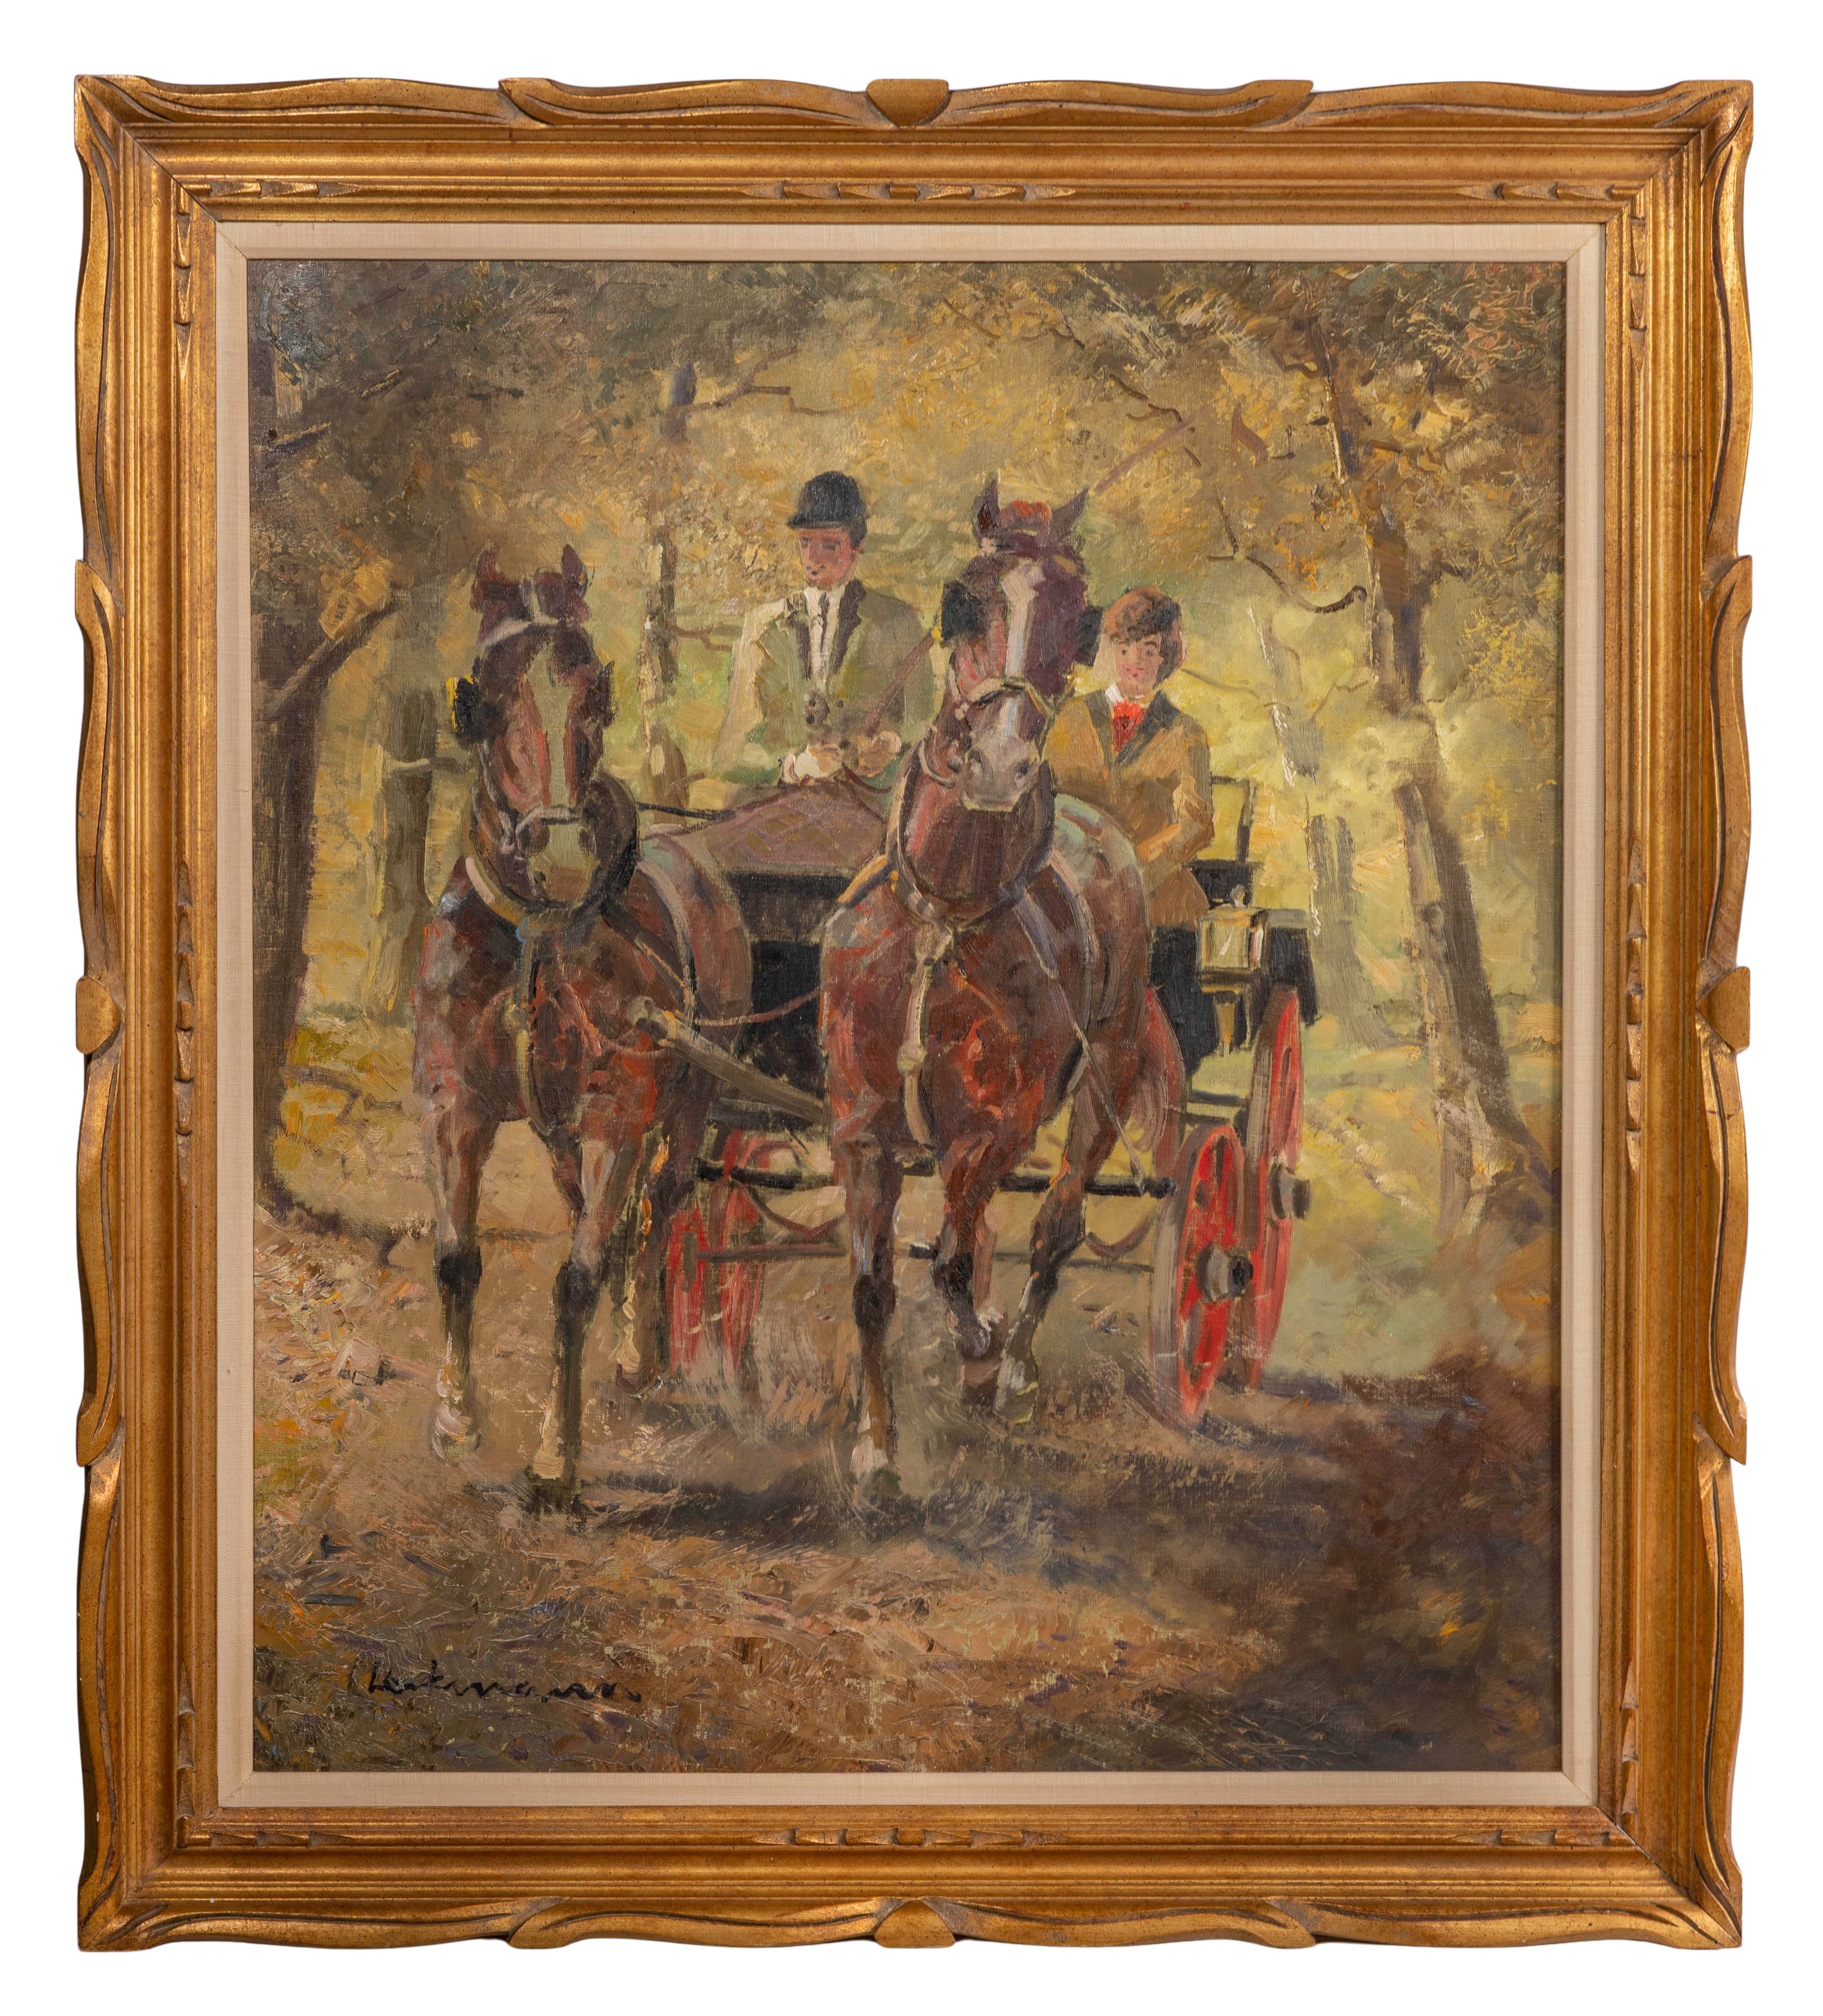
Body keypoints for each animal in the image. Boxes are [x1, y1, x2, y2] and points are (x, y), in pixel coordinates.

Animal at [412, 546, 751, 1506]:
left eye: (597, 692)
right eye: (484, 698)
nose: (562, 860)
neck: (535, 936)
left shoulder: (615, 1118)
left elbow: (576, 1278)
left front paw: (554, 1460)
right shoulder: (453, 1105)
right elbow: (457, 1258)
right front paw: (456, 1416)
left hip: (687, 1099)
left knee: (660, 1208)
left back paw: (642, 1351)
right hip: (563, 1134)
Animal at [819, 481, 1179, 1488]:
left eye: (1081, 614)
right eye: (963, 600)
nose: (1000, 765)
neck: (946, 911)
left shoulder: (998, 1126)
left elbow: (948, 1263)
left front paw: (980, 1348)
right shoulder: (862, 1128)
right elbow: (874, 1283)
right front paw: (876, 1446)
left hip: (1104, 1080)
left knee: (1053, 1227)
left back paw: (1008, 1364)